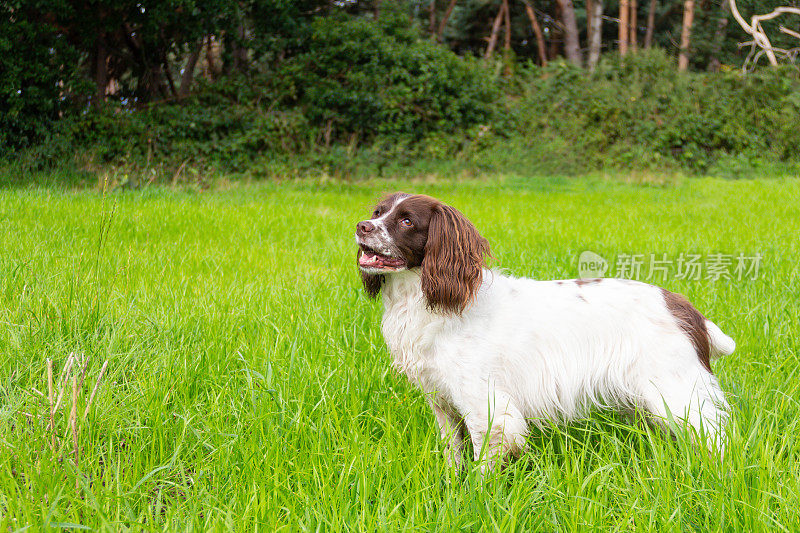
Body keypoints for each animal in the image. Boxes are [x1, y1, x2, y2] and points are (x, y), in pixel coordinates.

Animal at [360, 193, 736, 468]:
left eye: (407, 220)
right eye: (378, 211)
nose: (362, 226)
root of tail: (683, 307)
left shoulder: (487, 407)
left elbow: (484, 463)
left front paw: (475, 500)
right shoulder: (443, 401)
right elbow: (453, 453)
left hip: (677, 391)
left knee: (716, 438)